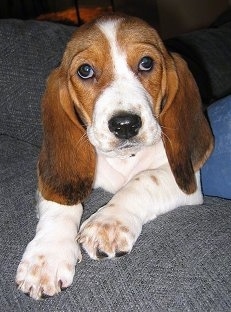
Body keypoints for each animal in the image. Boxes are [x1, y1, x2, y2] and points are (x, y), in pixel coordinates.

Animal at [16, 15, 214, 300]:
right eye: (85, 71)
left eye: (146, 63)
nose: (125, 125)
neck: (124, 158)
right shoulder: (55, 185)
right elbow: (62, 205)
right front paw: (47, 257)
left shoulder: (187, 182)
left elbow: (144, 180)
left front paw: (108, 223)